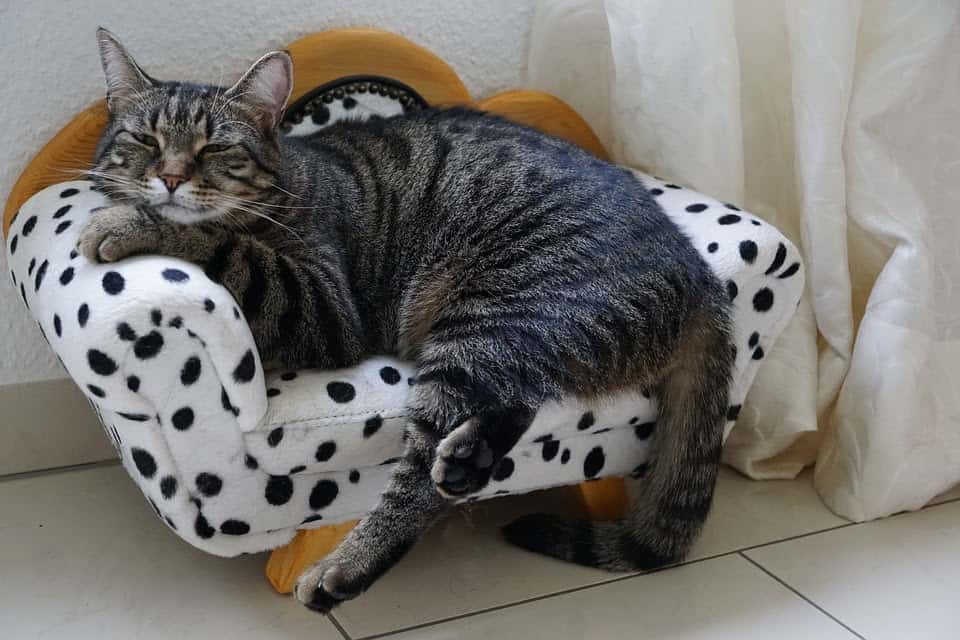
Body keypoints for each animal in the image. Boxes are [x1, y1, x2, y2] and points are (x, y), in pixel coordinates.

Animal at [80, 30, 736, 616]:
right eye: (144, 138)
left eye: (215, 148)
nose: (169, 177)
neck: (290, 179)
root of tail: (700, 275)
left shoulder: (324, 306)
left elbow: (221, 241)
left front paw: (127, 222)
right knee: (520, 399)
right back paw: (469, 459)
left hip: (490, 321)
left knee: (422, 480)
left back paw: (347, 567)